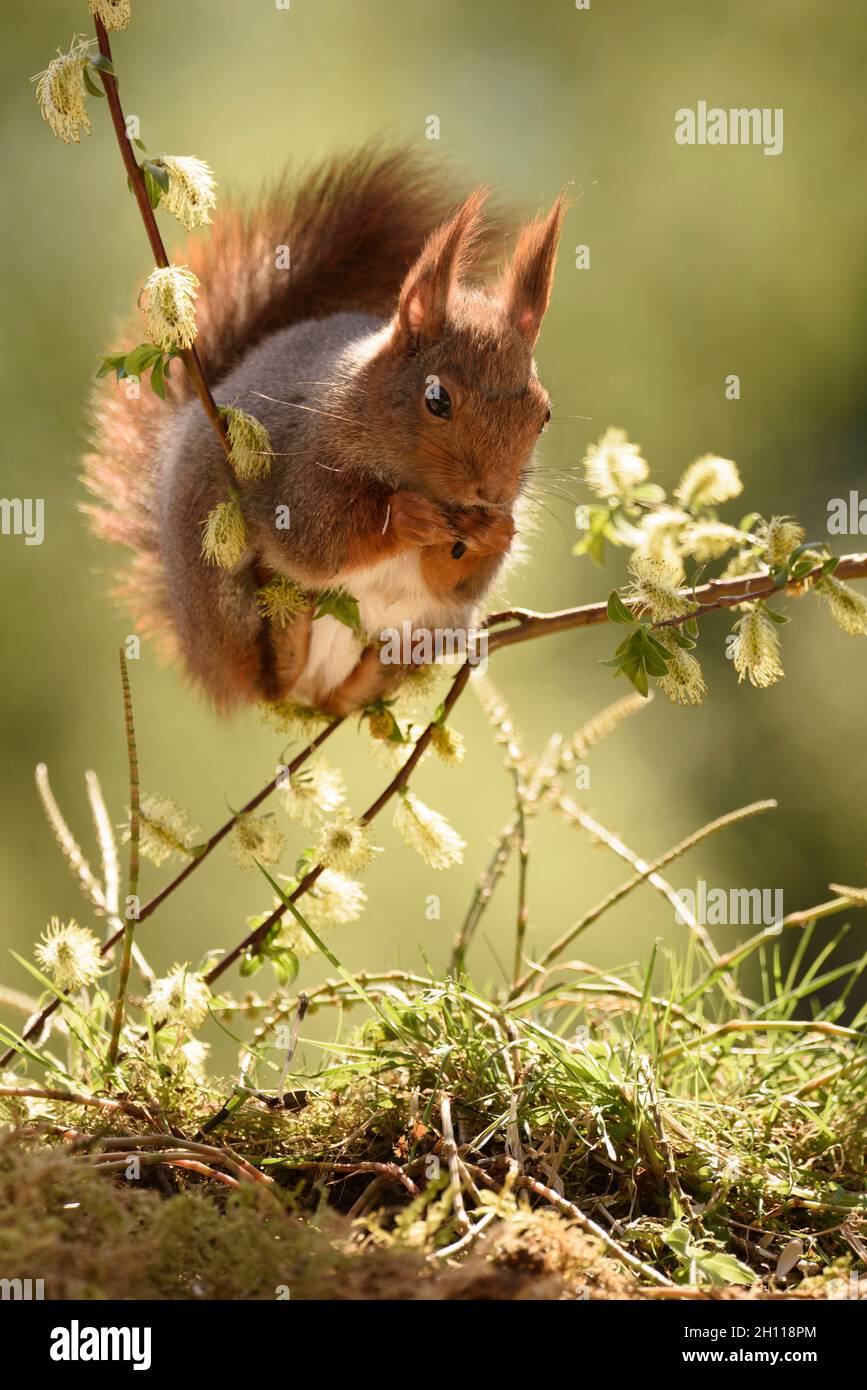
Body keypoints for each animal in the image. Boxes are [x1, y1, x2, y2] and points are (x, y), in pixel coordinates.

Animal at [84, 148, 565, 715]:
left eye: (544, 414)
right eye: (437, 400)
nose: (493, 492)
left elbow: (452, 583)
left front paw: (495, 532)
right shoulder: (300, 462)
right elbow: (315, 539)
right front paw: (405, 514)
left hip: (429, 633)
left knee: (353, 689)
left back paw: (355, 682)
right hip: (216, 576)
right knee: (264, 677)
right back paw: (286, 642)